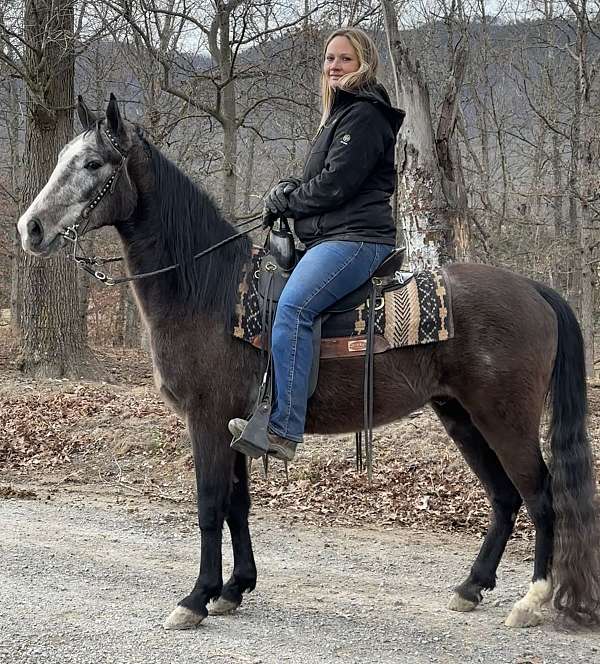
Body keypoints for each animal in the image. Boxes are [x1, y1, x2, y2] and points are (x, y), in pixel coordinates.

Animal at [17, 96, 600, 632]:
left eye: (93, 163)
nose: (31, 230)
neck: (207, 289)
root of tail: (535, 290)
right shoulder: (235, 424)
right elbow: (237, 505)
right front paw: (234, 589)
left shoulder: (206, 418)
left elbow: (209, 504)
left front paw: (196, 598)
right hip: (460, 415)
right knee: (504, 497)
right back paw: (471, 588)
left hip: (504, 417)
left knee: (541, 495)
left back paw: (532, 600)